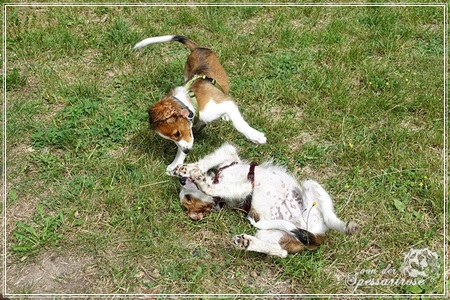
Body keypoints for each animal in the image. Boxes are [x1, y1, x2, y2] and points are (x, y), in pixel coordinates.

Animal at [134, 34, 268, 173]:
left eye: (177, 134)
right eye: (172, 138)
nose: (187, 151)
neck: (192, 102)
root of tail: (197, 48)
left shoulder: (225, 104)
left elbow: (238, 123)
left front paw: (256, 136)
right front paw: (176, 163)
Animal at [173, 143, 358, 258]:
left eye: (187, 198)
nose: (181, 182)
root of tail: (315, 235)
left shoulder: (229, 155)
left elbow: (208, 161)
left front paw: (186, 169)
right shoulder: (243, 188)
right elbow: (215, 187)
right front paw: (200, 179)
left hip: (311, 185)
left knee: (330, 217)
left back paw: (347, 227)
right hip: (273, 233)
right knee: (280, 252)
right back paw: (246, 243)